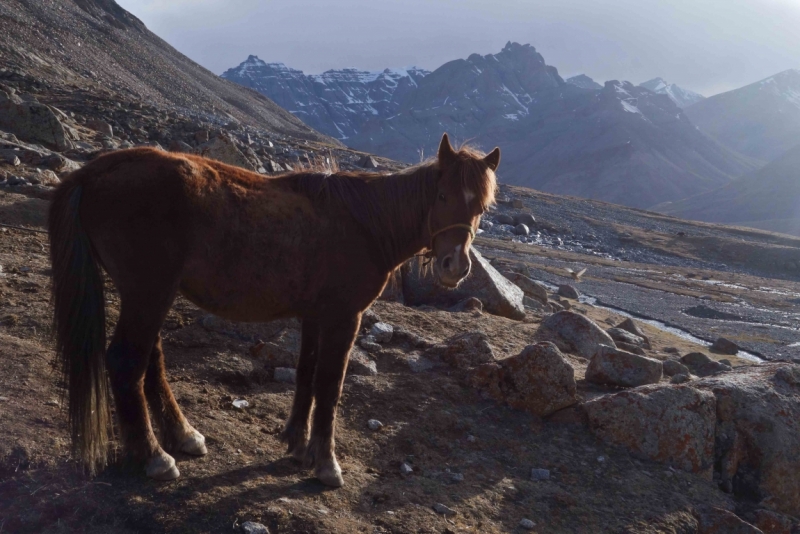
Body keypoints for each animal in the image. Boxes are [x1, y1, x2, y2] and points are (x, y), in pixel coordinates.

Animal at [47, 133, 496, 486]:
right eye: (442, 196)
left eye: (481, 209)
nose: (454, 267)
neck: (365, 223)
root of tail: (93, 172)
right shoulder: (344, 318)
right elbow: (330, 387)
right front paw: (327, 465)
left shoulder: (315, 315)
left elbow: (306, 375)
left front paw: (298, 445)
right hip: (148, 293)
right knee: (127, 362)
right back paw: (155, 457)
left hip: (149, 295)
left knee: (150, 361)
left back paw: (184, 436)